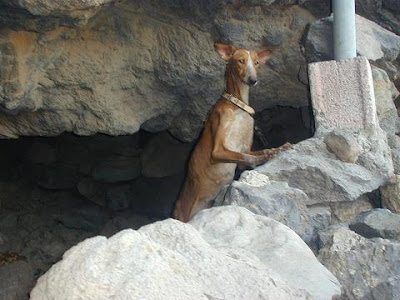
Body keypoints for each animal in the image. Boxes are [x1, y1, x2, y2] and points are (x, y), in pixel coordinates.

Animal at [173, 44, 290, 223]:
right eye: (240, 61)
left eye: (256, 63)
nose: (253, 80)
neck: (238, 105)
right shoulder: (218, 151)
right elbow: (248, 157)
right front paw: (262, 158)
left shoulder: (245, 148)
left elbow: (260, 151)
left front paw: (278, 149)